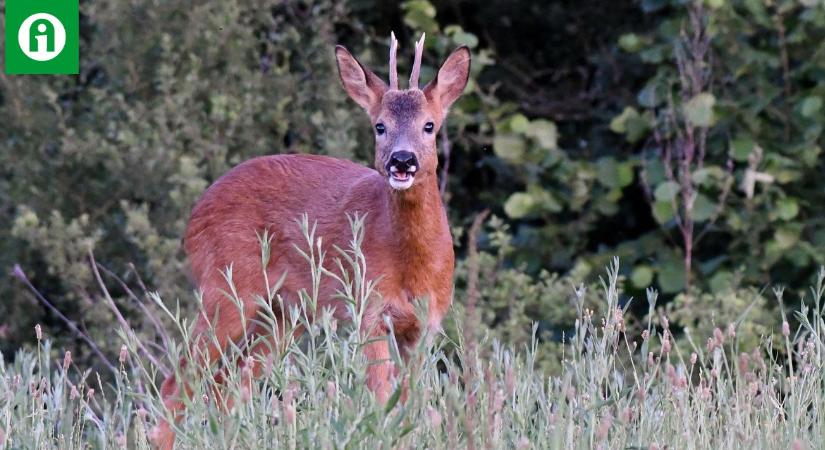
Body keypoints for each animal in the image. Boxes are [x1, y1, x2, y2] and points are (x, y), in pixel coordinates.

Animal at [150, 32, 470, 450]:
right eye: (380, 126)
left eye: (429, 125)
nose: (402, 160)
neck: (412, 264)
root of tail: (196, 212)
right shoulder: (368, 308)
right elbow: (381, 400)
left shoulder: (425, 324)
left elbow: (411, 406)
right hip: (225, 288)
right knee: (180, 380)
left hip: (285, 314)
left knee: (226, 384)